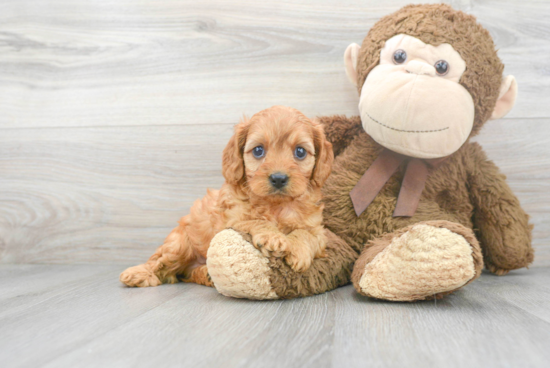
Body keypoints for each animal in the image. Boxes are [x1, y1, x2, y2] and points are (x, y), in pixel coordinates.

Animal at [121, 106, 334, 288]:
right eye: (258, 150)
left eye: (300, 151)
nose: (279, 178)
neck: (277, 206)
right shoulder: (230, 222)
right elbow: (254, 220)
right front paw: (272, 237)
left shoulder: (318, 231)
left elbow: (307, 234)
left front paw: (298, 250)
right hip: (178, 246)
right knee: (160, 263)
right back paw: (139, 274)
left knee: (187, 273)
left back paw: (206, 274)